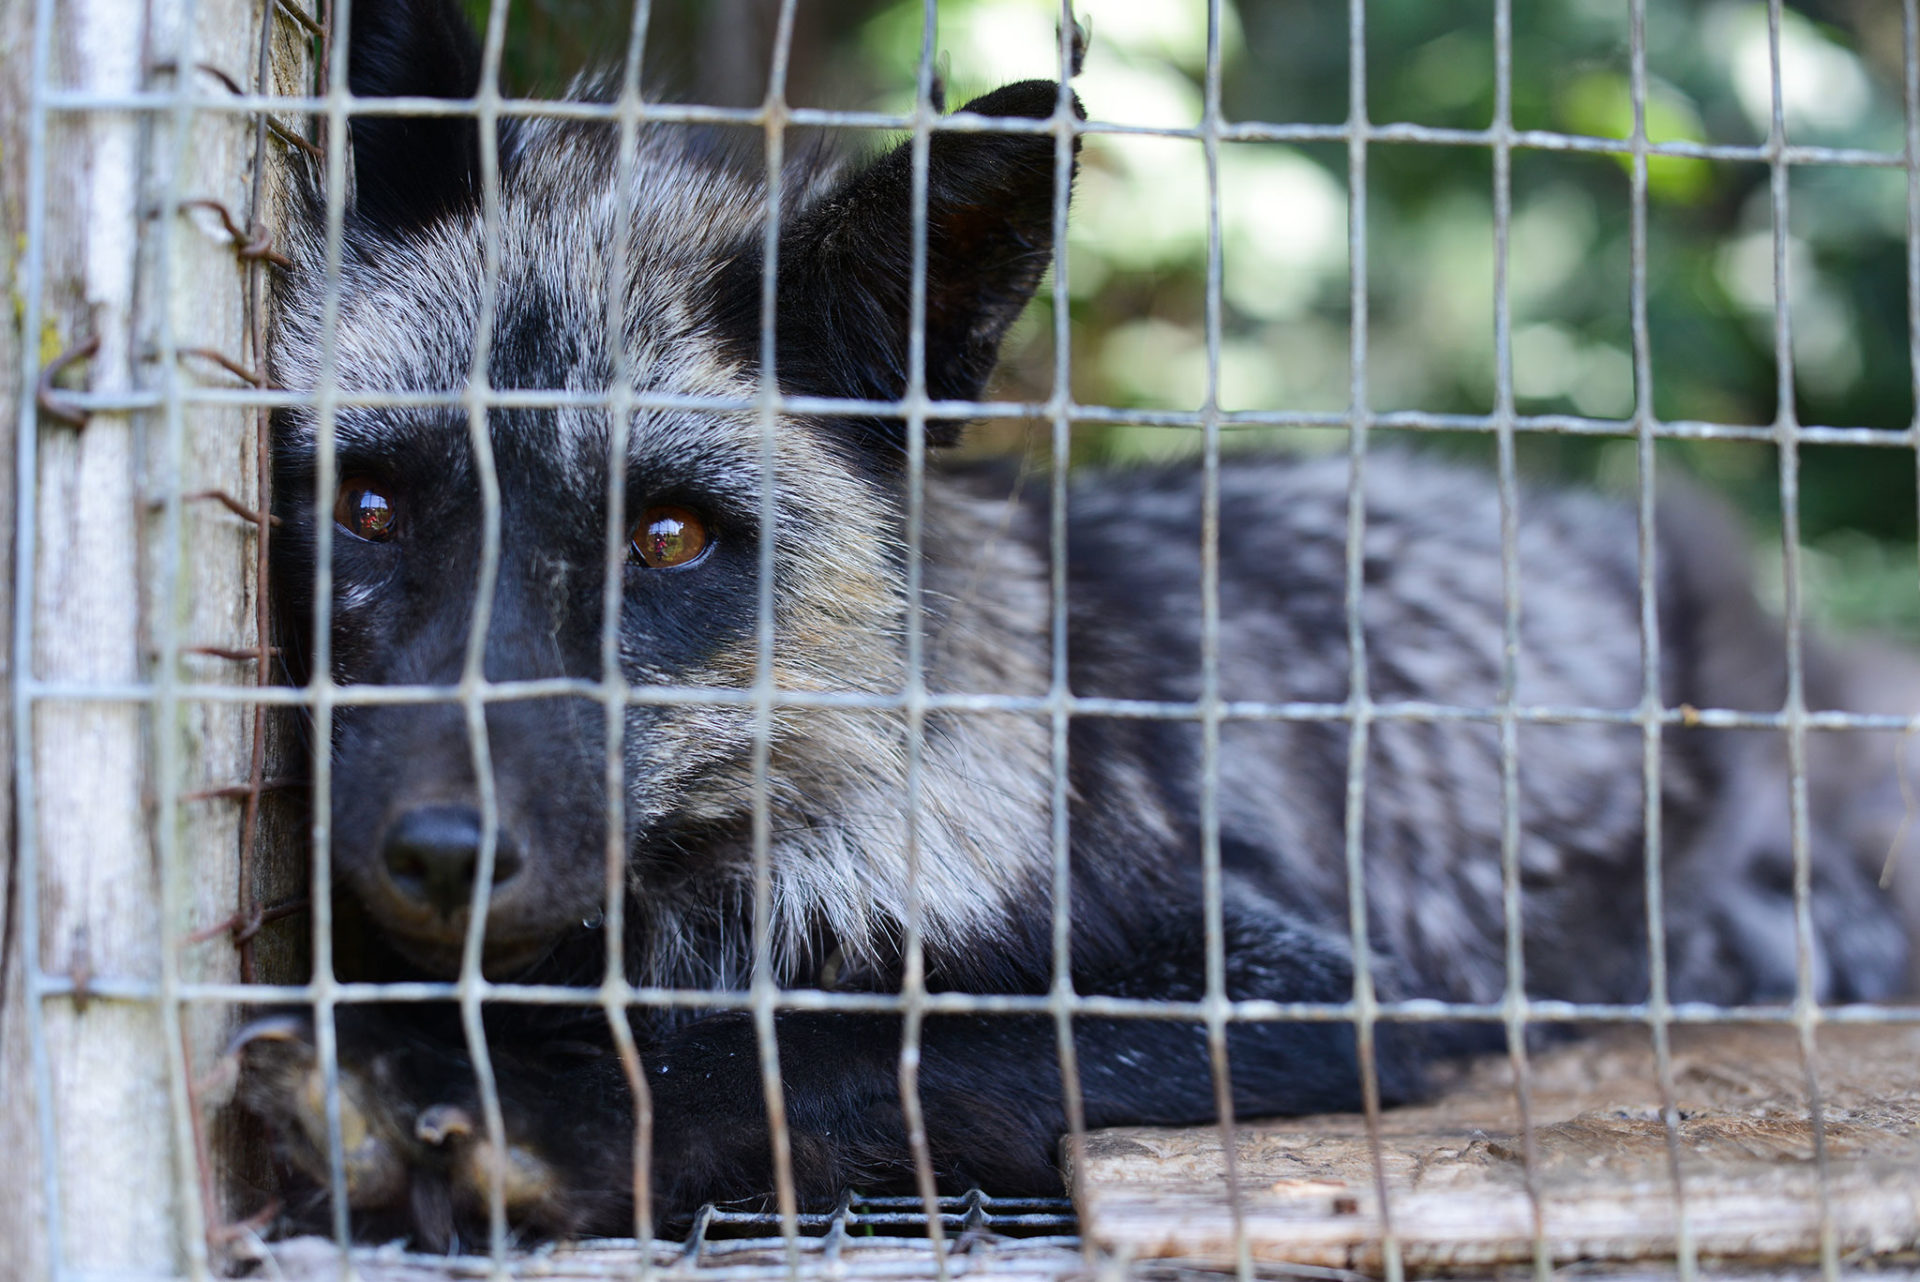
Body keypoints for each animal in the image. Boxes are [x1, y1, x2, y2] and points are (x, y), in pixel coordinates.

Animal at [232, 0, 1912, 1251]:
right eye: (371, 507)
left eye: (669, 538)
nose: (446, 850)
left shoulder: (1302, 979)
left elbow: (842, 1043)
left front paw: (521, 1112)